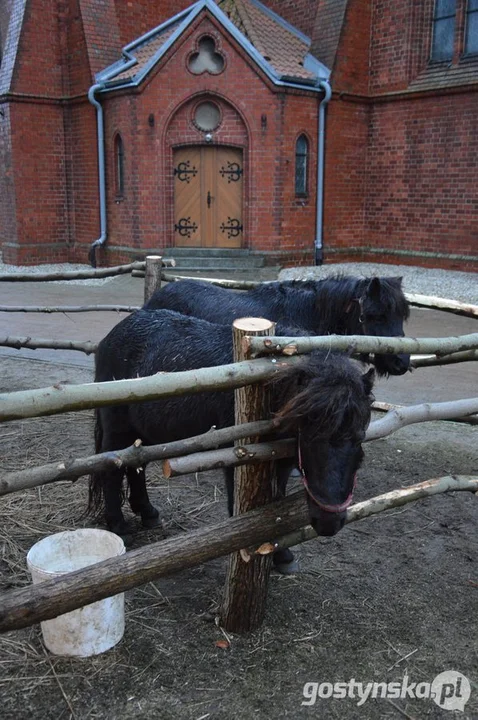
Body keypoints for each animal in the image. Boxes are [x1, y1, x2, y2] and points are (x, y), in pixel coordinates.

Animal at [88, 312, 374, 572]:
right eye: (309, 435)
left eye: (359, 437)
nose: (329, 524)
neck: (271, 383)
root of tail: (112, 336)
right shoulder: (239, 458)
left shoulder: (283, 460)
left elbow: (277, 506)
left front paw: (282, 556)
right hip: (117, 430)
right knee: (113, 470)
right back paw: (119, 526)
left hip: (142, 433)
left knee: (137, 467)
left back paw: (148, 513)